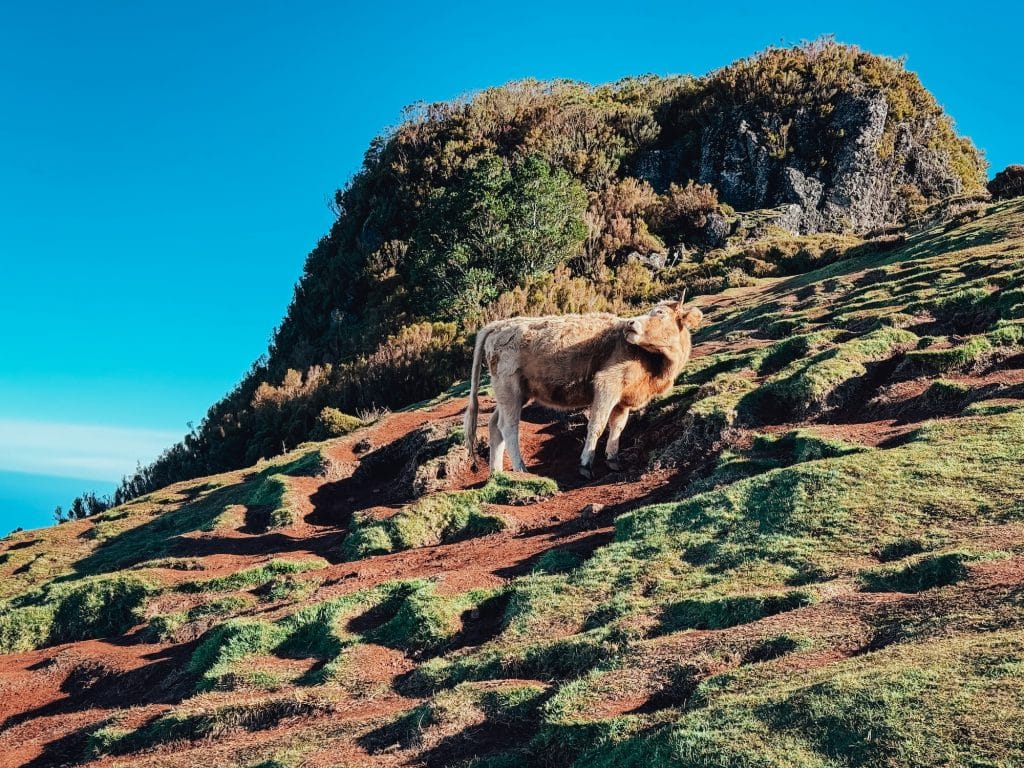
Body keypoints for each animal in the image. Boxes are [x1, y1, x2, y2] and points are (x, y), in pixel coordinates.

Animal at [464, 297, 703, 478]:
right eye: (654, 311)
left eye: (660, 313)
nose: (631, 323)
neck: (652, 363)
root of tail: (499, 325)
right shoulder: (606, 384)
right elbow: (597, 425)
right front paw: (586, 464)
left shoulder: (623, 399)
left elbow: (617, 427)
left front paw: (613, 459)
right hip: (509, 387)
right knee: (508, 426)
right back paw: (521, 469)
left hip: (515, 392)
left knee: (495, 425)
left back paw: (497, 473)